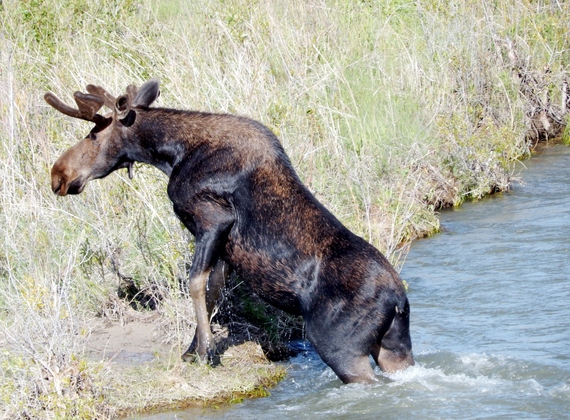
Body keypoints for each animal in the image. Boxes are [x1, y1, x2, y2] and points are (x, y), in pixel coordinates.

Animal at [43, 79, 408, 384]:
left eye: (94, 134)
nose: (58, 174)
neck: (171, 154)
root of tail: (398, 301)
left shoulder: (213, 218)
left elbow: (195, 283)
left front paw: (205, 352)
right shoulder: (222, 244)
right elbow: (213, 290)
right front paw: (193, 350)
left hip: (341, 348)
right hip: (394, 348)